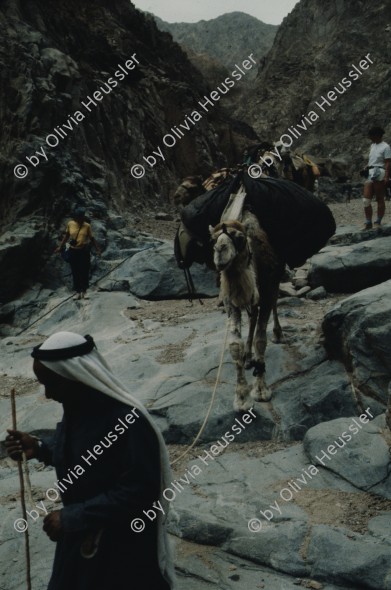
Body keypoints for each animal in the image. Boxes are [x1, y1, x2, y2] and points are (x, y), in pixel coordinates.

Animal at [210, 212, 284, 412]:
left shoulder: (267, 293)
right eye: (213, 239)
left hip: (274, 286)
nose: (220, 250)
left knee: (273, 307)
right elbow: (235, 344)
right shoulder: (231, 303)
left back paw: (278, 334)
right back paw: (249, 358)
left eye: (240, 238)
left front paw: (261, 391)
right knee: (252, 318)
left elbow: (261, 340)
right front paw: (242, 399)